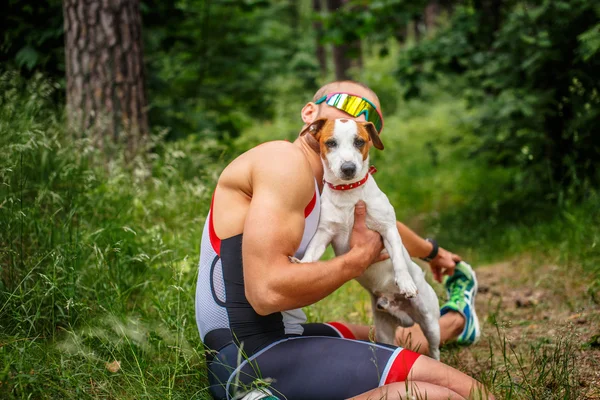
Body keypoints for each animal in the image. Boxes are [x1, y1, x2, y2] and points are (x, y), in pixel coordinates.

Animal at [296, 116, 440, 360]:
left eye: (359, 142)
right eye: (331, 143)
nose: (348, 168)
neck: (348, 195)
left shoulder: (388, 229)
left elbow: (398, 260)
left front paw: (405, 282)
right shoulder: (324, 233)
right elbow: (311, 254)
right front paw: (304, 265)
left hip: (430, 321)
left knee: (435, 347)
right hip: (383, 329)